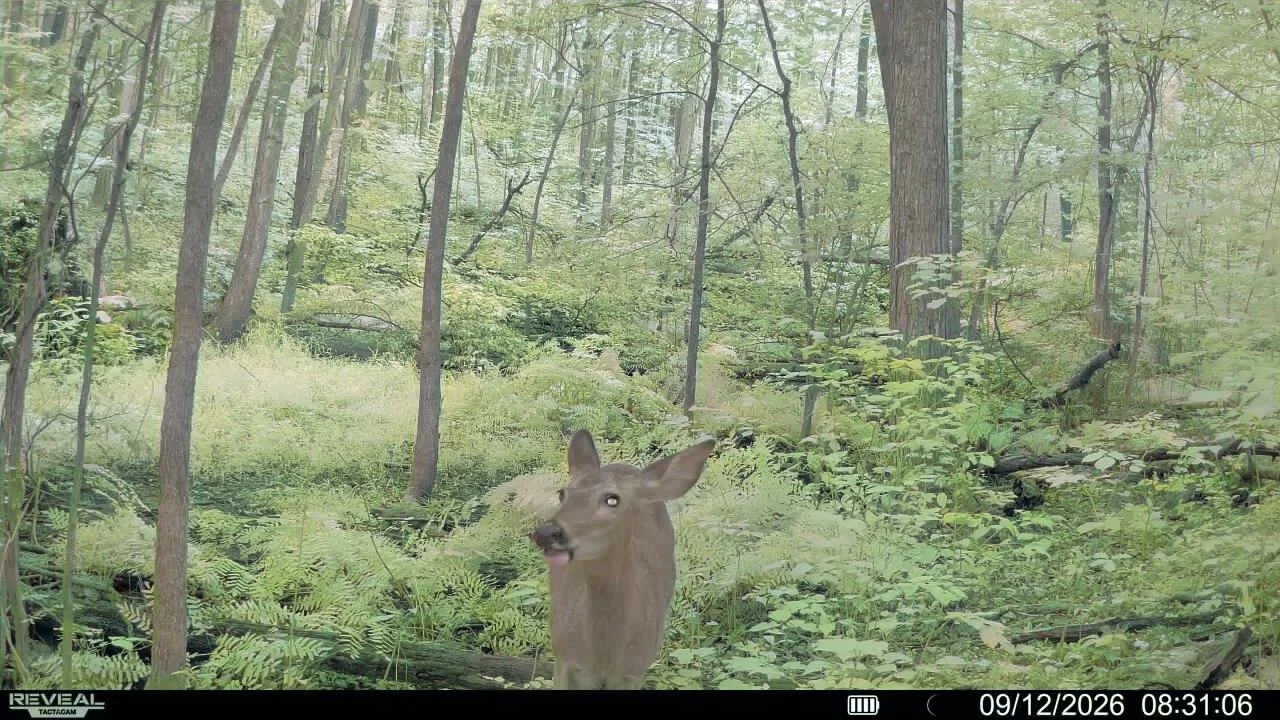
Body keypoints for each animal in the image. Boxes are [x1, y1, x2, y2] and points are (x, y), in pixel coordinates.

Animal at [529, 429, 717, 690]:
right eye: (562, 493)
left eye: (612, 499)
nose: (546, 533)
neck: (604, 655)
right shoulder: (564, 659)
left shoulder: (634, 671)